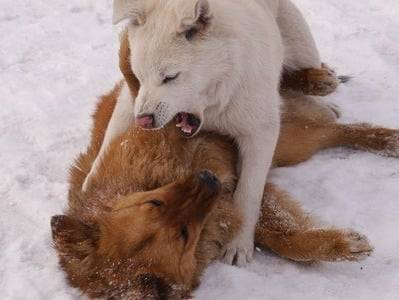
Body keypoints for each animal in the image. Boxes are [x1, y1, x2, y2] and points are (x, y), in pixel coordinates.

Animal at [50, 30, 399, 298]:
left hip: (277, 129)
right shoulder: (228, 201)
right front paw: (340, 245)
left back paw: (322, 84)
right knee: (331, 130)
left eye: (153, 202)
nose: (206, 178)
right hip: (288, 140)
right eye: (182, 235)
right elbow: (275, 233)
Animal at [83, 0, 324, 268]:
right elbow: (111, 139)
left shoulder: (260, 131)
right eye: (139, 75)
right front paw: (91, 185)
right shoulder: (131, 100)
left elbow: (248, 193)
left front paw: (238, 243)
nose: (144, 121)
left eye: (170, 77)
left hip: (303, 51)